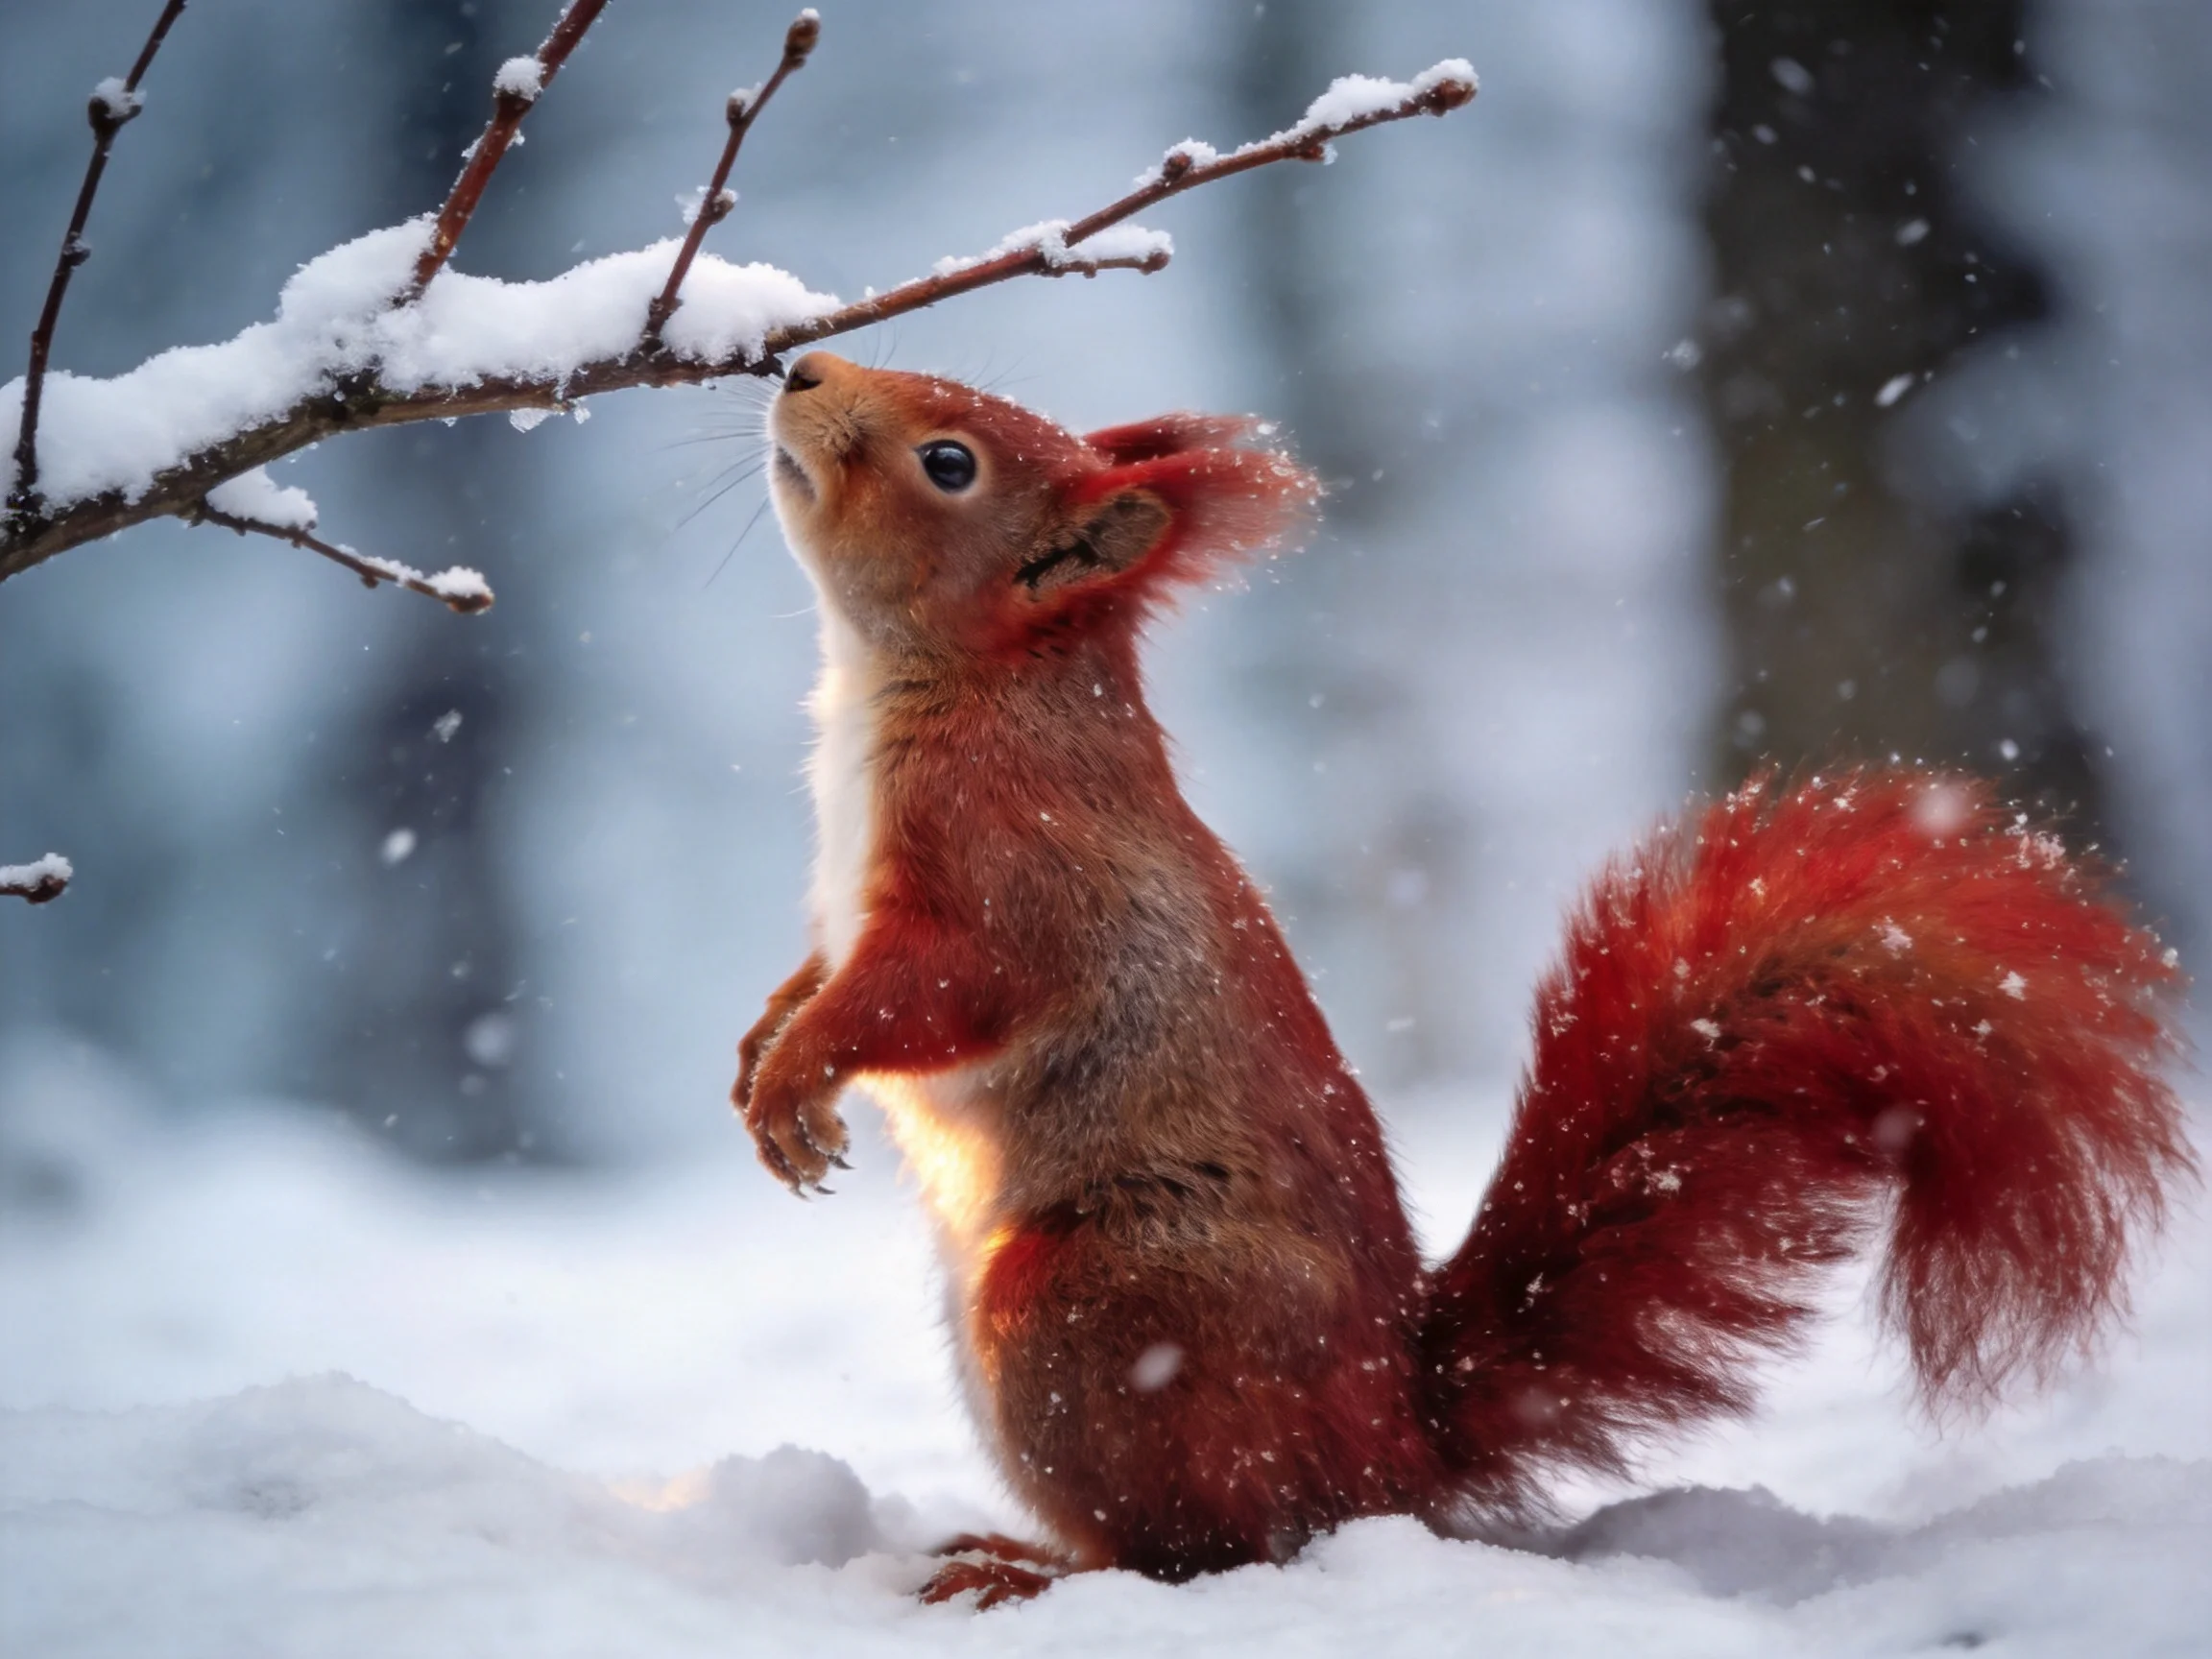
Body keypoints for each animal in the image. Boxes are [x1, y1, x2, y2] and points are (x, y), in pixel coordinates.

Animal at [732, 350, 2193, 1607]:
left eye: (950, 461)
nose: (801, 366)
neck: (947, 681)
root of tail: (1395, 1440)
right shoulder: (859, 903)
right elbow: (820, 974)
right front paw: (762, 1051)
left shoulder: (1014, 876)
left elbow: (926, 996)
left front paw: (799, 1078)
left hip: (1086, 1307)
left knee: (1207, 1549)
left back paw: (1032, 1574)